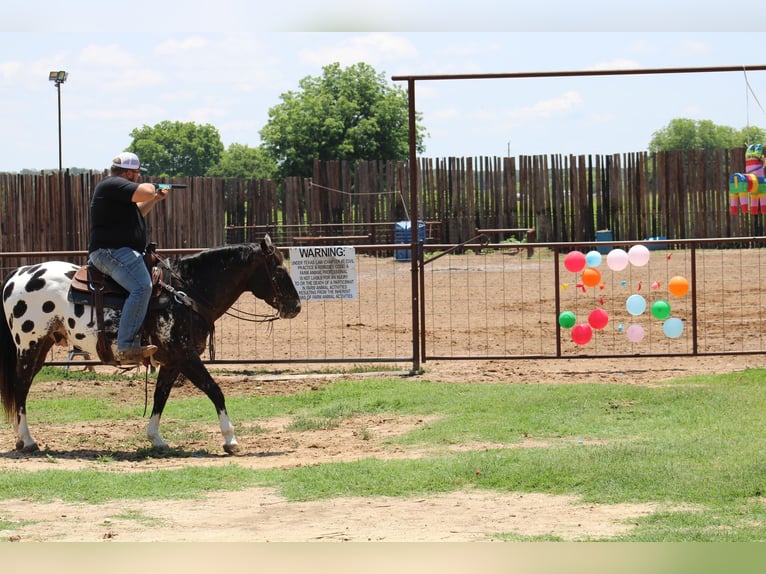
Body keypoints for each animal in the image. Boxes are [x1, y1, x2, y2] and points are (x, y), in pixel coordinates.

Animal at [0, 236, 300, 456]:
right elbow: (215, 390)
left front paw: (156, 438)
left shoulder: (172, 361)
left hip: (41, 347)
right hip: (30, 345)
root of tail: (18, 273)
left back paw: (21, 438)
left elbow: (160, 397)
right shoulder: (187, 356)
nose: (295, 307)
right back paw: (28, 440)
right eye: (277, 268)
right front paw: (230, 439)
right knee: (21, 387)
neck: (186, 293)